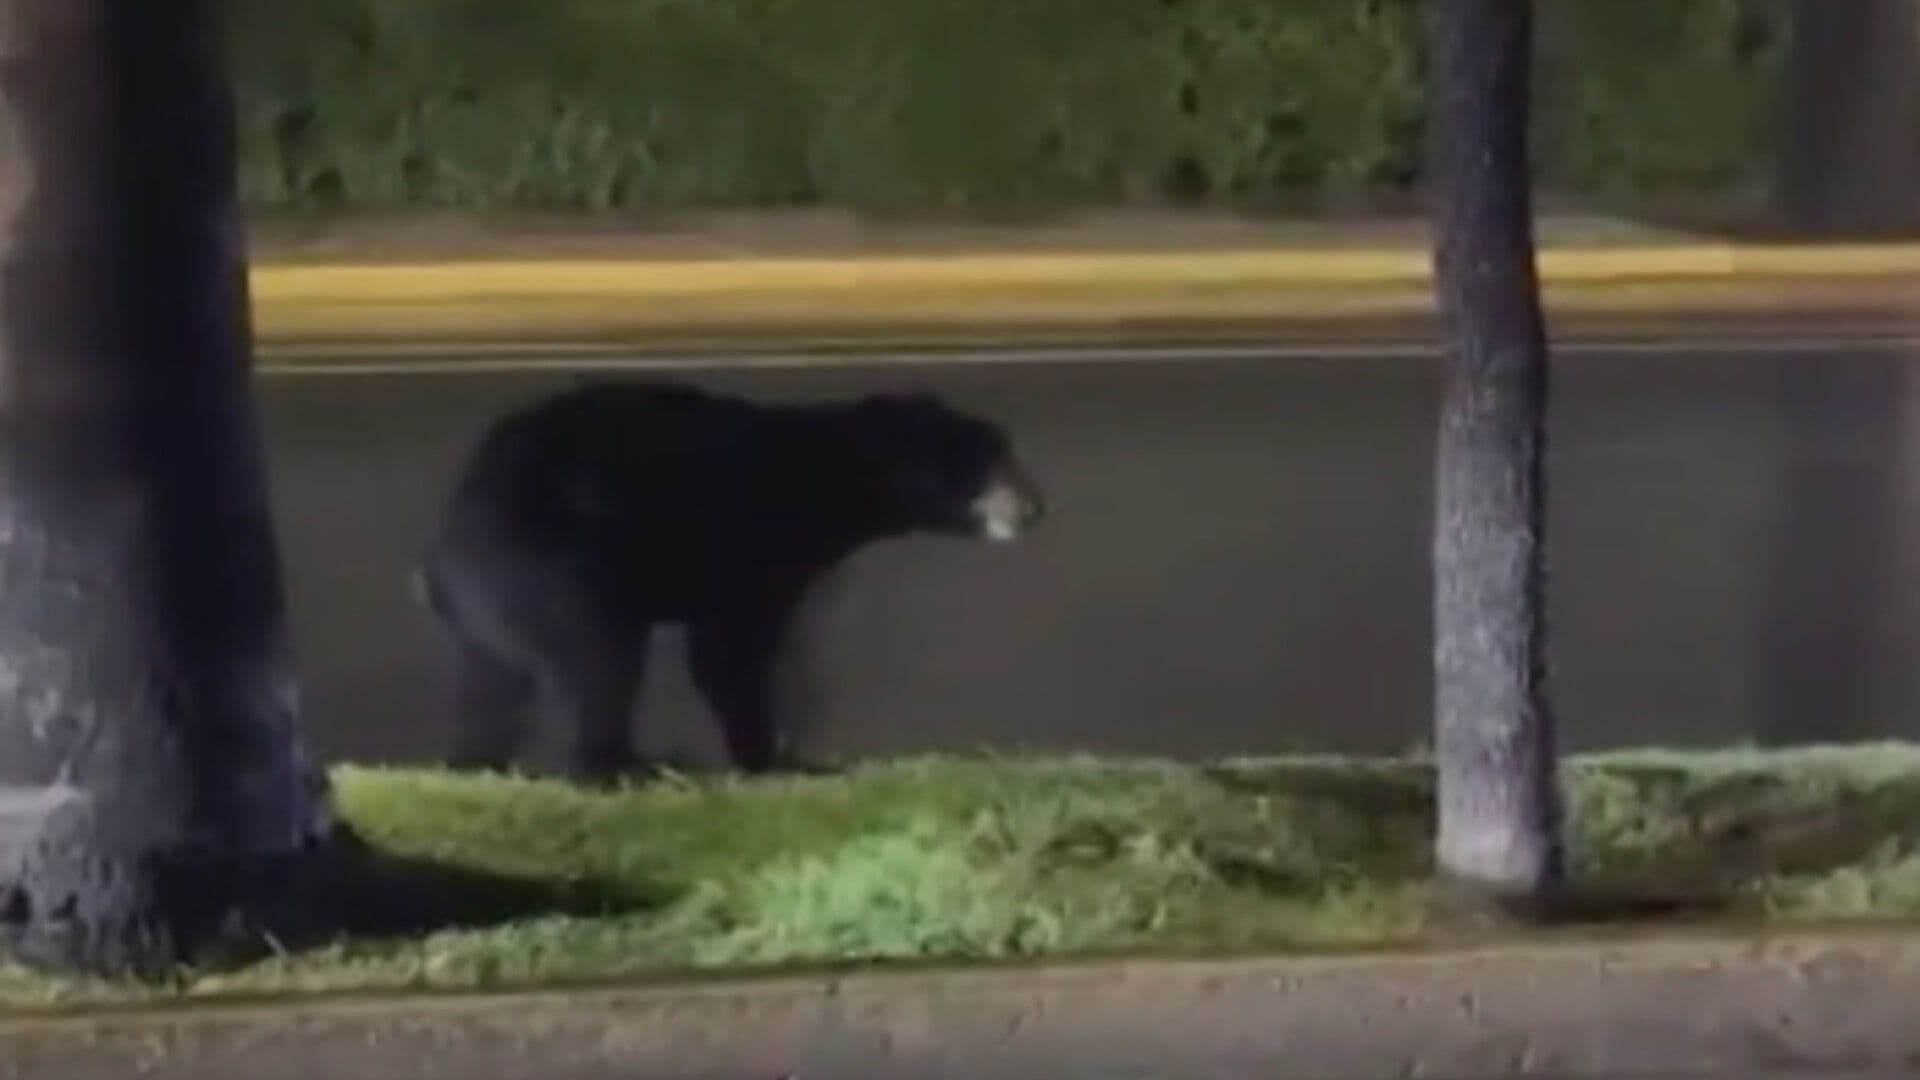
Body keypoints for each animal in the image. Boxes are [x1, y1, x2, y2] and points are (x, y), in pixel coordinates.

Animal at [412, 378, 1045, 784]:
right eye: (992, 462)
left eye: (1009, 455)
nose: (1035, 509)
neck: (825, 478)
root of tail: (437, 560)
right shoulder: (748, 542)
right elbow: (729, 651)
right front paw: (777, 760)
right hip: (548, 563)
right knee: (600, 656)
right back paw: (625, 765)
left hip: (490, 609)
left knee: (494, 686)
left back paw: (476, 761)